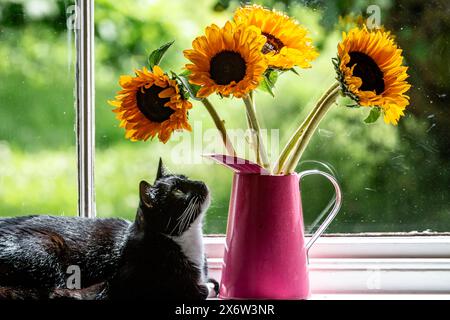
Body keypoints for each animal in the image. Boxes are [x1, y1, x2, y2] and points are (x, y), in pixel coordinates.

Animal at [0, 160, 218, 300]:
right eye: (178, 191)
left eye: (187, 178)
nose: (201, 183)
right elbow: (198, 290)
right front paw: (206, 287)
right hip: (46, 250)